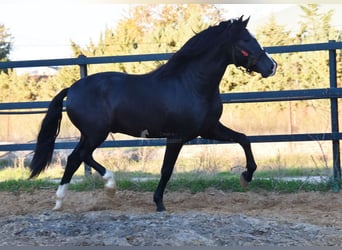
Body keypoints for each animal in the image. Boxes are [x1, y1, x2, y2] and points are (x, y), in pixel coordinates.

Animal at [28, 16, 276, 211]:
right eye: (246, 40)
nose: (271, 66)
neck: (190, 84)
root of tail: (72, 89)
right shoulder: (177, 137)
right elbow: (166, 169)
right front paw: (159, 203)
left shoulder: (209, 128)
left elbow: (244, 139)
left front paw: (246, 177)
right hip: (95, 133)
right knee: (77, 157)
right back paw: (94, 191)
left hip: (91, 134)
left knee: (79, 158)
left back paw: (76, 198)